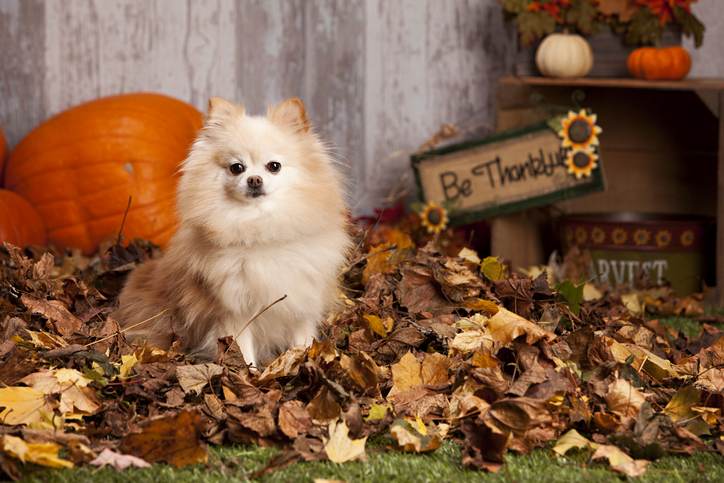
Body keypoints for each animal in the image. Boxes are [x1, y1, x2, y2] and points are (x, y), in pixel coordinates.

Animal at [114, 96, 350, 366]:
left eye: (274, 166)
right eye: (237, 167)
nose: (254, 179)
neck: (259, 229)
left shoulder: (301, 300)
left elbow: (303, 338)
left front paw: (305, 360)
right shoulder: (232, 312)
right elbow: (242, 348)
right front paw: (251, 372)